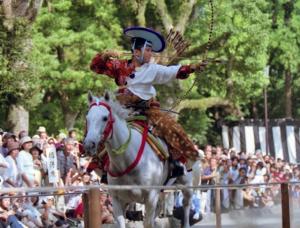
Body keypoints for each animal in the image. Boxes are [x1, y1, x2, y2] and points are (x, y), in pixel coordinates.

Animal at [83, 92, 193, 228]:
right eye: (87, 118)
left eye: (104, 118)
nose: (89, 144)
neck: (127, 161)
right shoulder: (117, 199)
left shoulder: (151, 197)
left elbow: (148, 223)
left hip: (187, 185)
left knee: (186, 204)